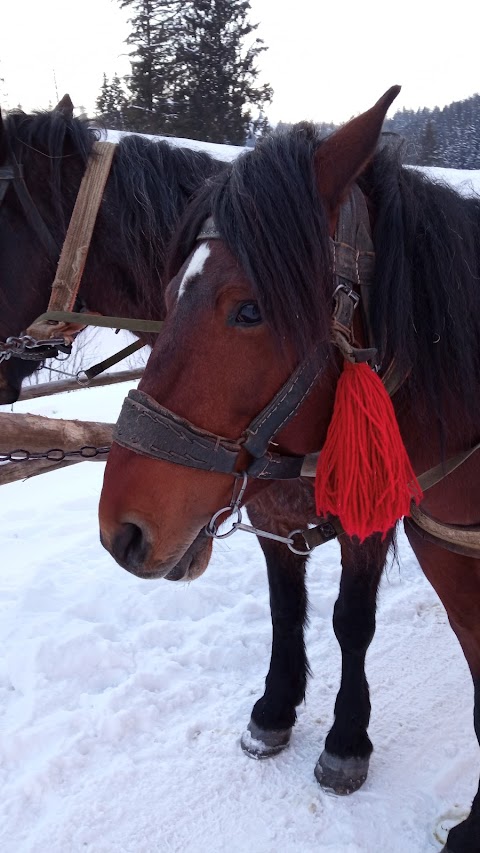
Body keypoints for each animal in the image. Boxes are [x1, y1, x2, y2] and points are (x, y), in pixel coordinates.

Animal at [99, 88, 480, 852]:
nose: (119, 529)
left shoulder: (372, 517)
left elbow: (351, 620)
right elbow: (287, 608)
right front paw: (275, 710)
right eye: (166, 293)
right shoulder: (284, 517)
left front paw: (346, 740)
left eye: (250, 310)